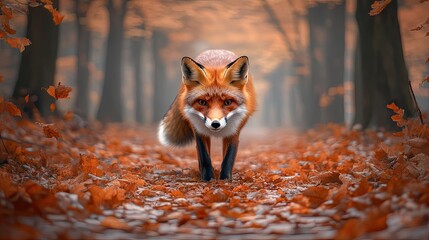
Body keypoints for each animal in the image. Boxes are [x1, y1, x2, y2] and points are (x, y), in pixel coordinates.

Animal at [158, 49, 256, 181]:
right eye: (202, 102)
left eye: (227, 102)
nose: (215, 124)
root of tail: (217, 50)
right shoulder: (199, 131)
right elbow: (204, 157)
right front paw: (208, 178)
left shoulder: (234, 131)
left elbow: (228, 158)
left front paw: (225, 179)